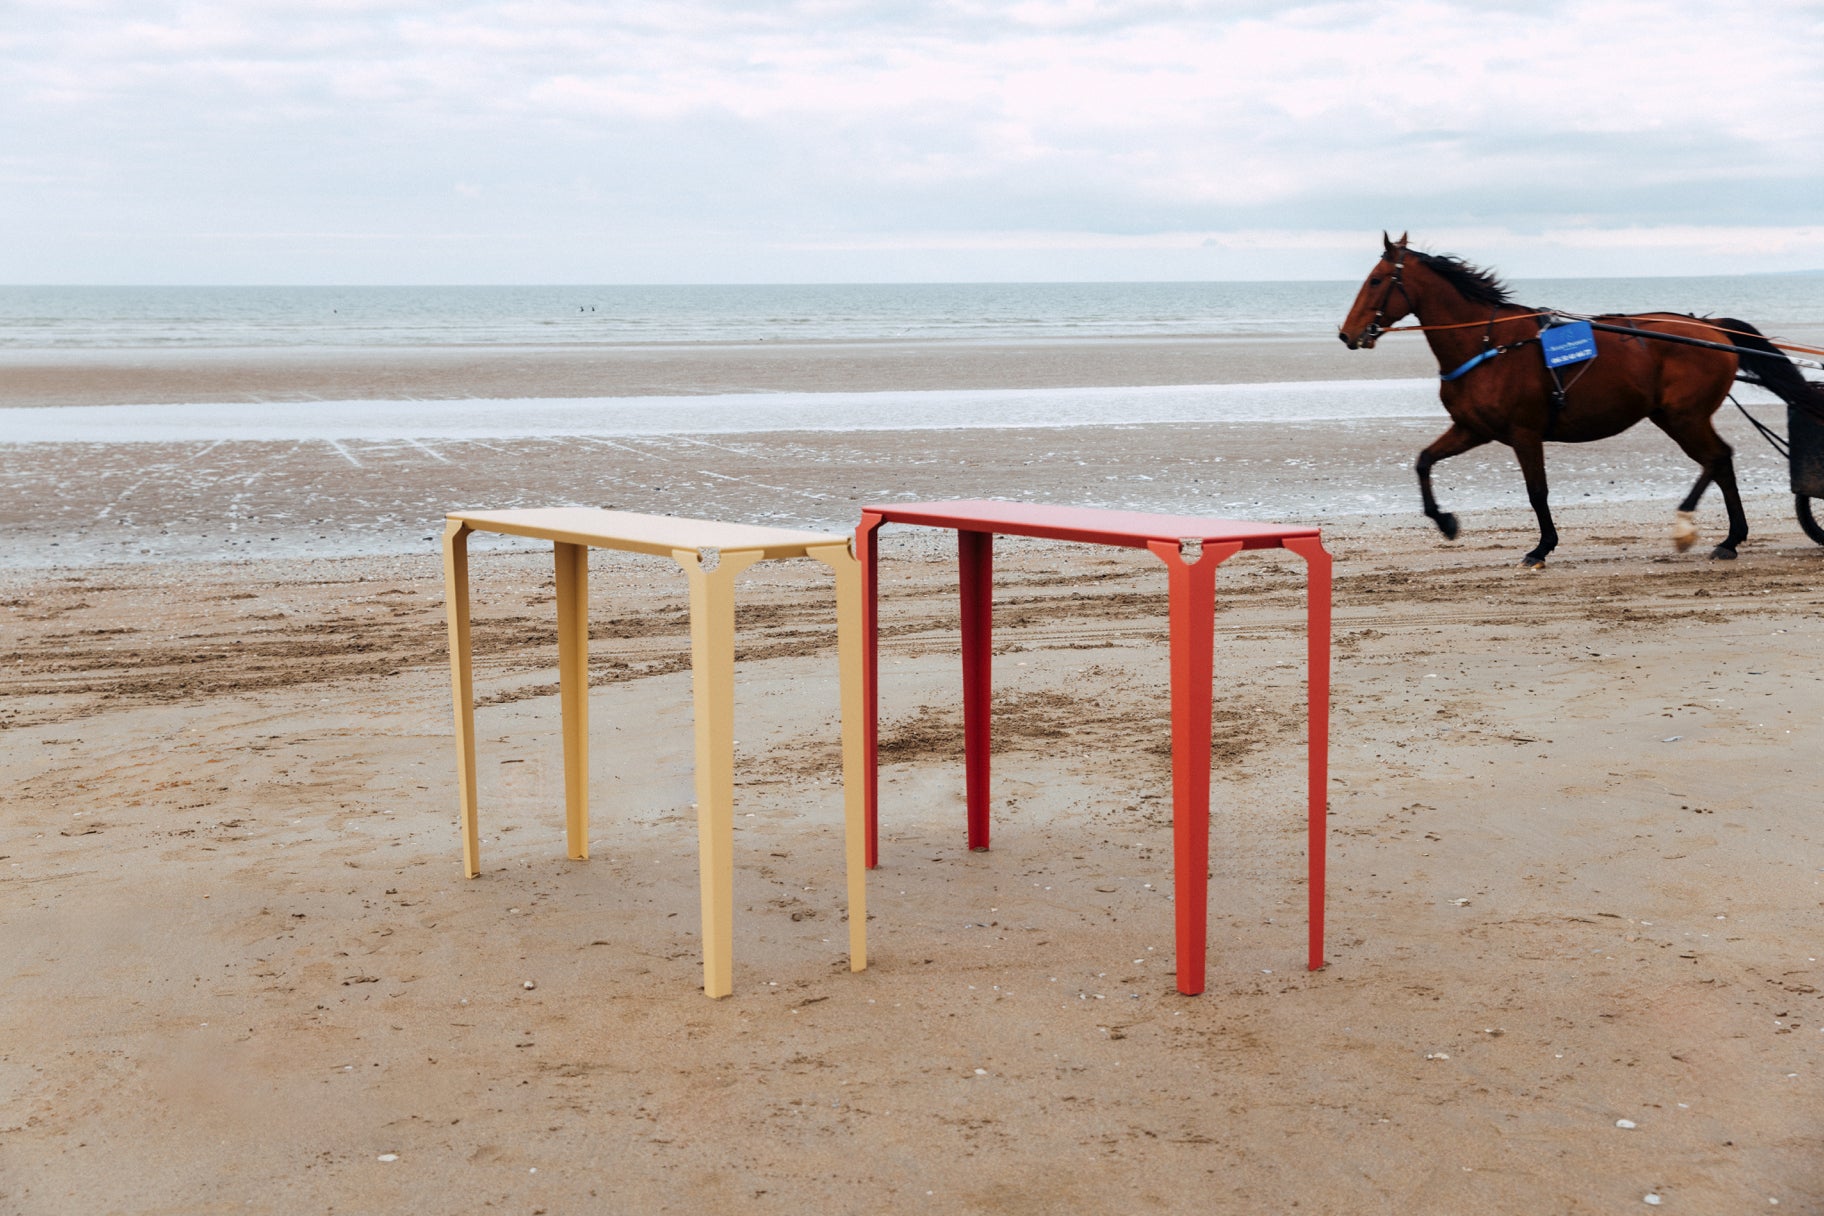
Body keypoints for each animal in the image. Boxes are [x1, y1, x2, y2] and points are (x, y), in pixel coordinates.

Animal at [1335, 235, 1816, 568]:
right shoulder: (1473, 428)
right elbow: (1424, 461)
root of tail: (1711, 328)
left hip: (1684, 416)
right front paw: (1446, 521)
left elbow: (1537, 492)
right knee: (1720, 462)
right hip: (1672, 416)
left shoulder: (1524, 433)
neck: (1489, 344)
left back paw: (1695, 528)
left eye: (1375, 280)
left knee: (1717, 459)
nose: (1347, 334)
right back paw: (1728, 538)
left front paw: (1541, 547)